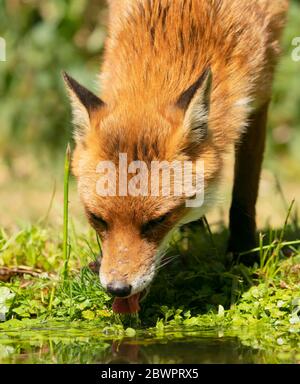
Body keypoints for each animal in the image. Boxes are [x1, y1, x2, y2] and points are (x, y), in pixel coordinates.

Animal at [63, 0, 288, 312]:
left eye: (157, 221)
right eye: (97, 219)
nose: (117, 288)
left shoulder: (259, 93)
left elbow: (245, 192)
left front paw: (243, 254)